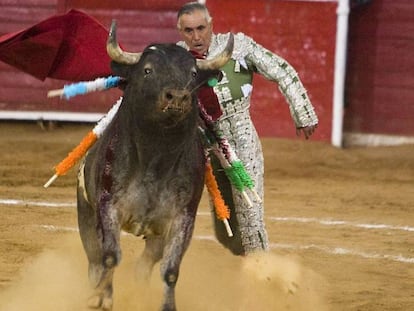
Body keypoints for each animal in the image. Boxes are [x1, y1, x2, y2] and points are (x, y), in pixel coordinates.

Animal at [75, 20, 233, 311]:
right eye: (147, 70)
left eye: (193, 73)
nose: (178, 97)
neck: (156, 157)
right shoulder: (108, 207)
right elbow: (110, 256)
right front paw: (103, 297)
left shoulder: (182, 218)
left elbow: (170, 271)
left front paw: (167, 306)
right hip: (86, 216)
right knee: (94, 261)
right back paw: (94, 290)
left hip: (156, 236)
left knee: (144, 266)